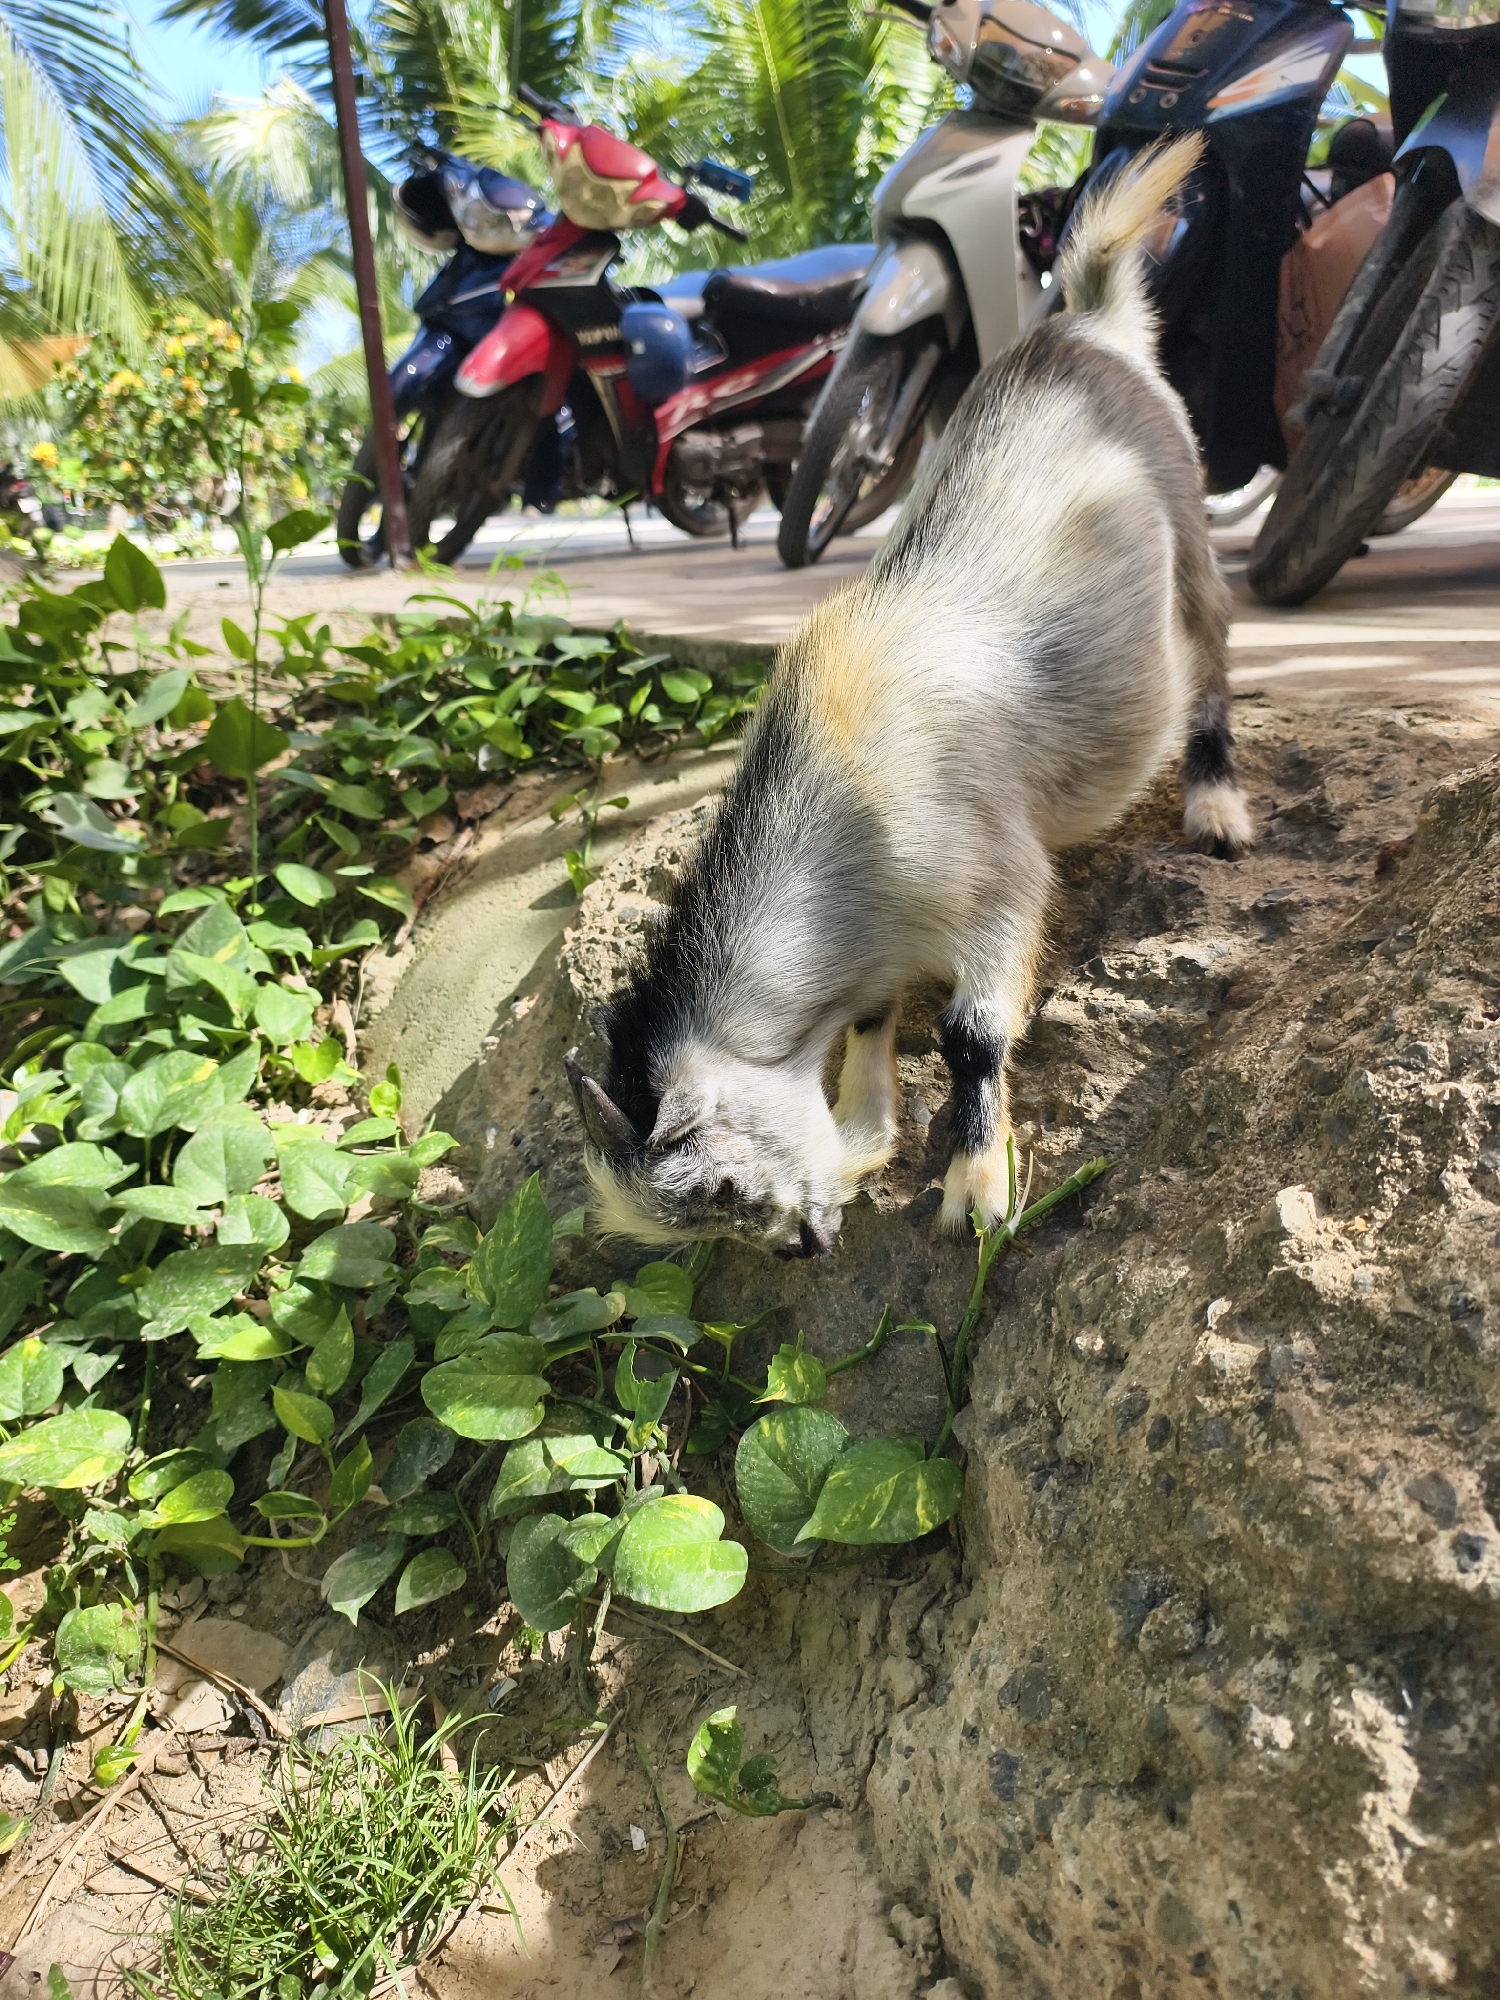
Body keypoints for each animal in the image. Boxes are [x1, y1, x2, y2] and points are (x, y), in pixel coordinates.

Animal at [568, 135, 1251, 1257]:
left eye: (721, 1191)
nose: (800, 1245)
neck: (842, 817)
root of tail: (1092, 322)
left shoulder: (997, 881)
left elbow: (972, 1033)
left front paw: (976, 1186)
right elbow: (868, 1016)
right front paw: (865, 1111)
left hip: (1189, 518)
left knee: (1213, 657)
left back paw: (1218, 806)